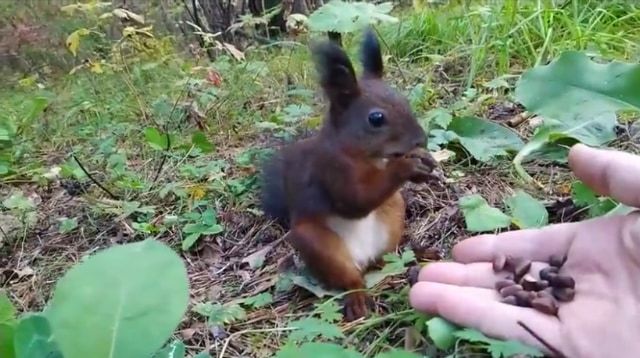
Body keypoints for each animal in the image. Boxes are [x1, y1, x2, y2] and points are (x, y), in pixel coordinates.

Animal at [260, 27, 440, 318]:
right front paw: (408, 167)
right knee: (351, 278)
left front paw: (425, 165)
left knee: (387, 257)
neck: (369, 159)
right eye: (376, 118)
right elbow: (354, 200)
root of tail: (363, 257)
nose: (420, 140)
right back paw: (357, 298)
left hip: (393, 216)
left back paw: (419, 251)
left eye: (404, 100)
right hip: (318, 245)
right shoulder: (329, 170)